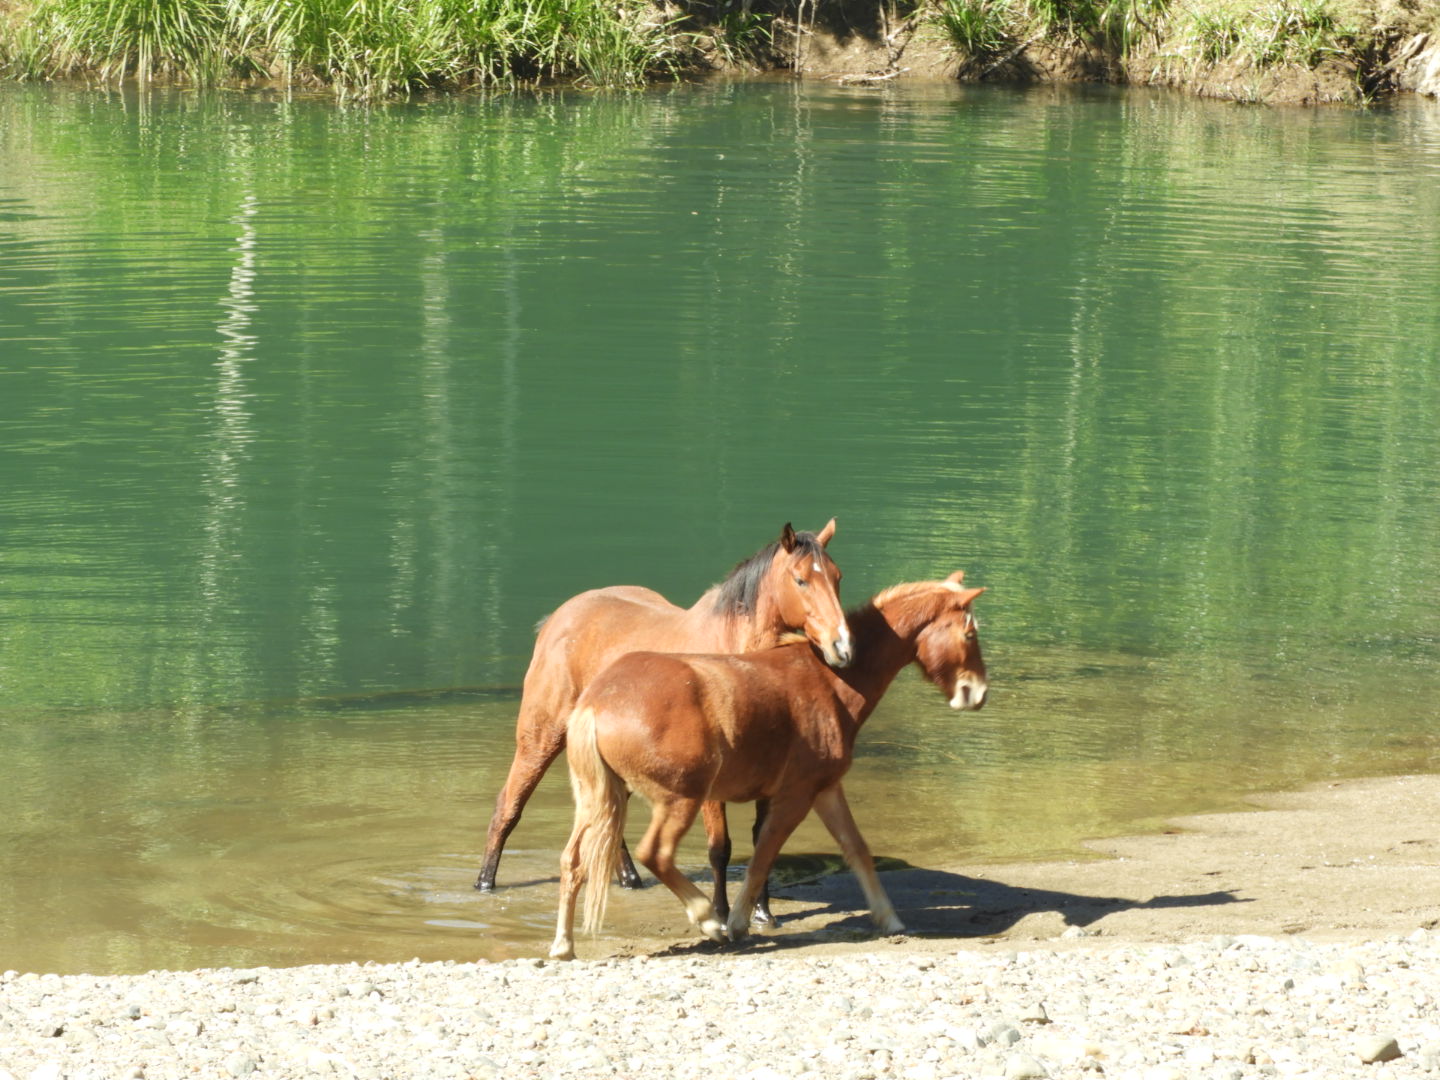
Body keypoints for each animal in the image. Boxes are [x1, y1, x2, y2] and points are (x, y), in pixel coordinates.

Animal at [478, 521, 846, 892]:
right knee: (508, 806)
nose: (840, 644)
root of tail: (557, 618)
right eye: (800, 580)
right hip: (540, 737)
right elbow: (720, 848)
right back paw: (484, 881)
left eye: (837, 576)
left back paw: (629, 878)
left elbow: (764, 843)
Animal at [544, 570, 984, 961]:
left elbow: (856, 849)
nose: (976, 692)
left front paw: (888, 917)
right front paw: (737, 921)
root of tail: (597, 702)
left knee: (572, 861)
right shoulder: (794, 796)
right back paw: (708, 920)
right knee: (656, 854)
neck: (829, 681)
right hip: (680, 800)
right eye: (969, 633)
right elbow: (762, 857)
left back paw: (563, 944)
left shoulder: (825, 789)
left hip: (598, 798)